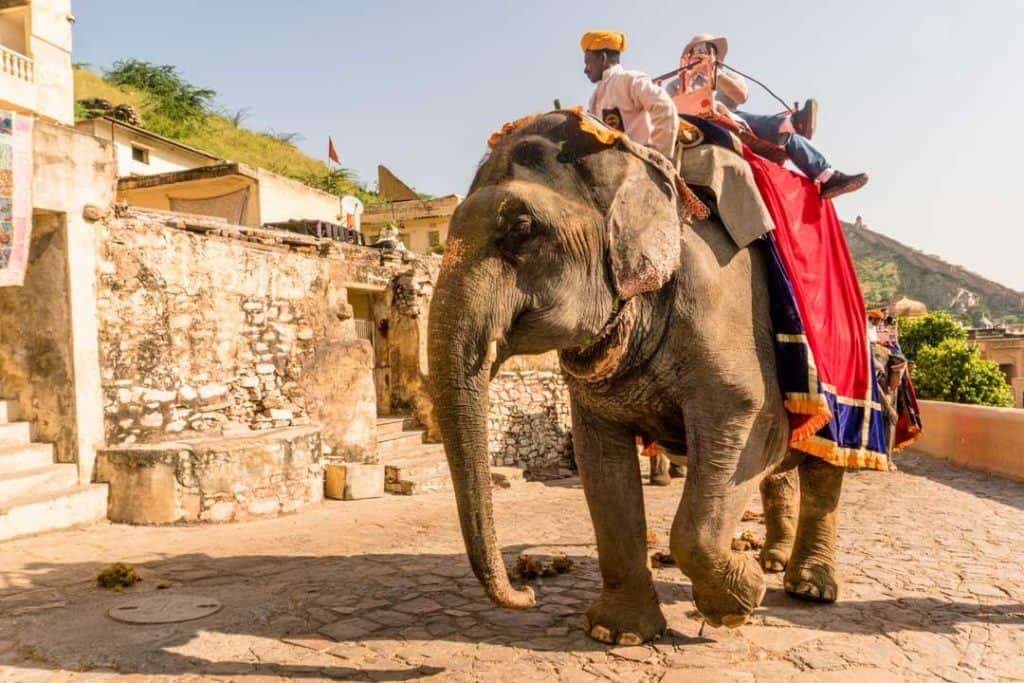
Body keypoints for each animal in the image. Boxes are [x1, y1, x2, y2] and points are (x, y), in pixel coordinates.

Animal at [423, 112, 839, 647]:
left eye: (521, 228)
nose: (527, 592)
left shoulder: (726, 313)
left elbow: (753, 427)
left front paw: (740, 600)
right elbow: (601, 463)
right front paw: (617, 633)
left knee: (824, 472)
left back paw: (808, 587)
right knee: (784, 473)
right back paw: (773, 561)